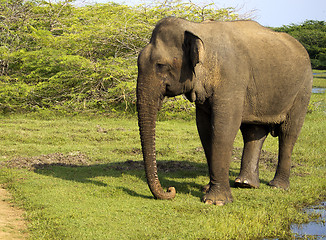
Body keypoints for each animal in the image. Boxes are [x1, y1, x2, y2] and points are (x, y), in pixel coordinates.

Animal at [136, 16, 314, 205]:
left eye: (161, 65)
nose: (170, 190)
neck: (196, 28)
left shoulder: (231, 78)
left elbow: (224, 127)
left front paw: (215, 201)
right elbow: (204, 129)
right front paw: (207, 189)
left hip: (303, 89)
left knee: (288, 132)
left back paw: (277, 186)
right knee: (254, 131)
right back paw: (245, 184)